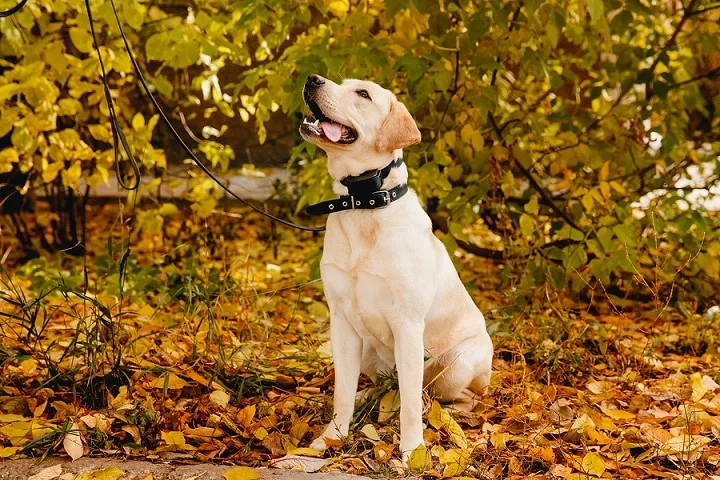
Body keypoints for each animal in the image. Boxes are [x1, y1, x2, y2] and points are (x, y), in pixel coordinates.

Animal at [296, 74, 490, 462]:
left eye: (363, 94)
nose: (313, 78)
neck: (364, 203)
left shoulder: (408, 324)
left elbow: (412, 406)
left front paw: (413, 452)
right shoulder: (341, 322)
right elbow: (341, 393)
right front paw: (332, 438)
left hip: (456, 363)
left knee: (446, 395)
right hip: (369, 351)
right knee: (389, 386)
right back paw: (369, 396)